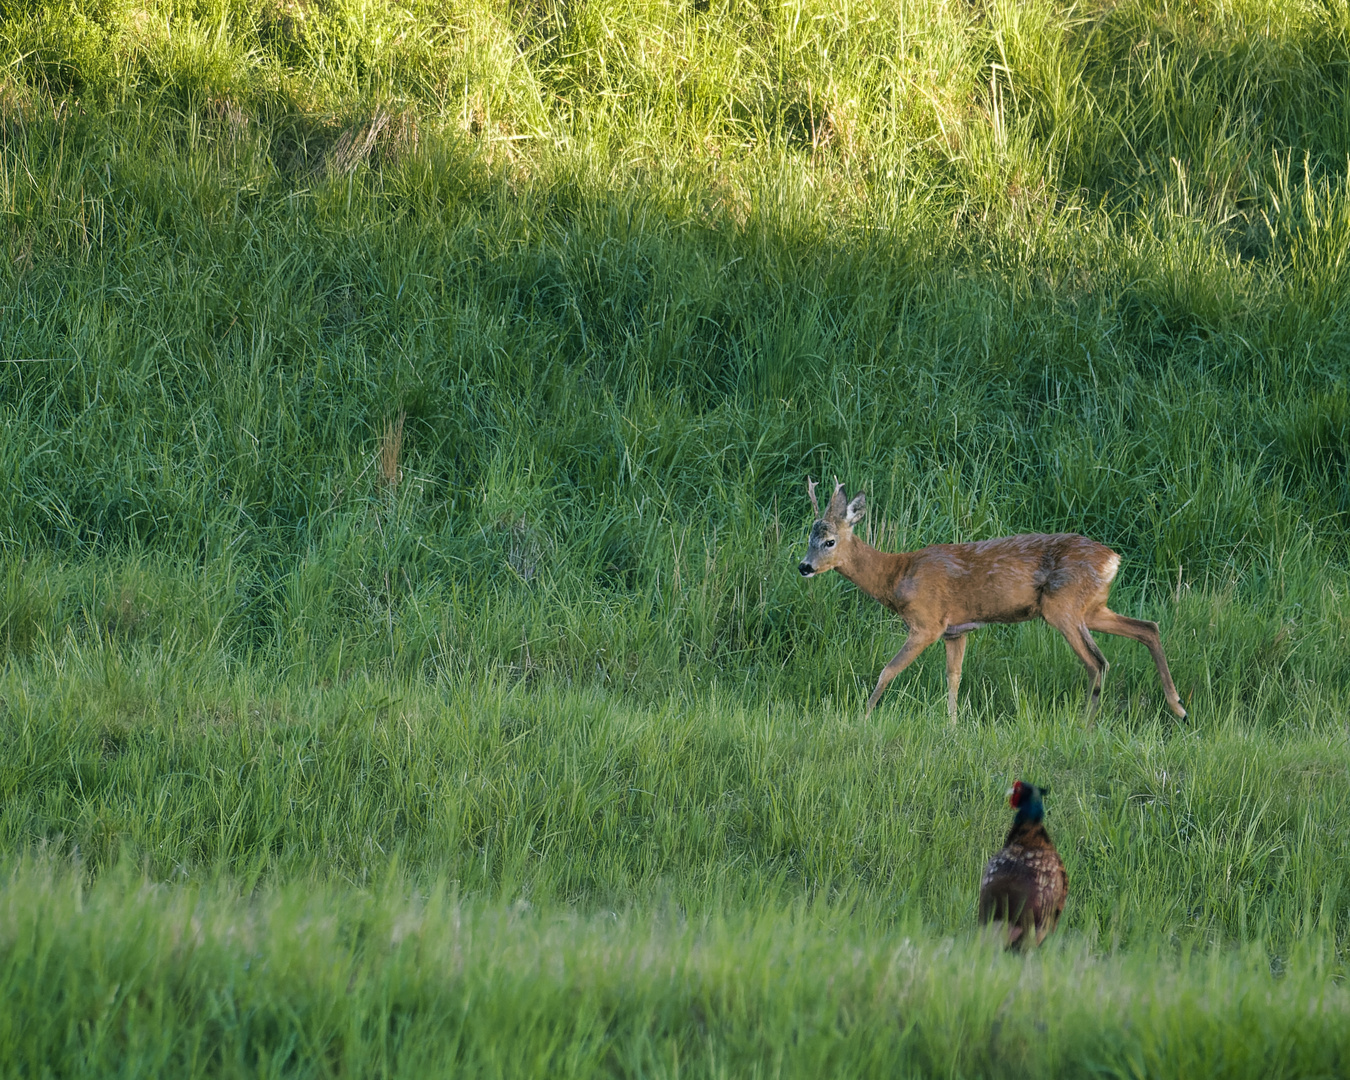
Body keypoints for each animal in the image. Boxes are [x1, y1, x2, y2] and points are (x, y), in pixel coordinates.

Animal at [793, 477, 1188, 723]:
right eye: (808, 537)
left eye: (829, 541)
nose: (804, 567)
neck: (897, 576)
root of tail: (1113, 559)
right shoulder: (956, 630)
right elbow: (953, 678)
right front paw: (952, 727)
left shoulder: (927, 623)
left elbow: (888, 670)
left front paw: (863, 717)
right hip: (1092, 607)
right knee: (1148, 628)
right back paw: (1179, 708)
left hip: (1063, 607)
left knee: (1097, 662)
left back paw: (1084, 725)